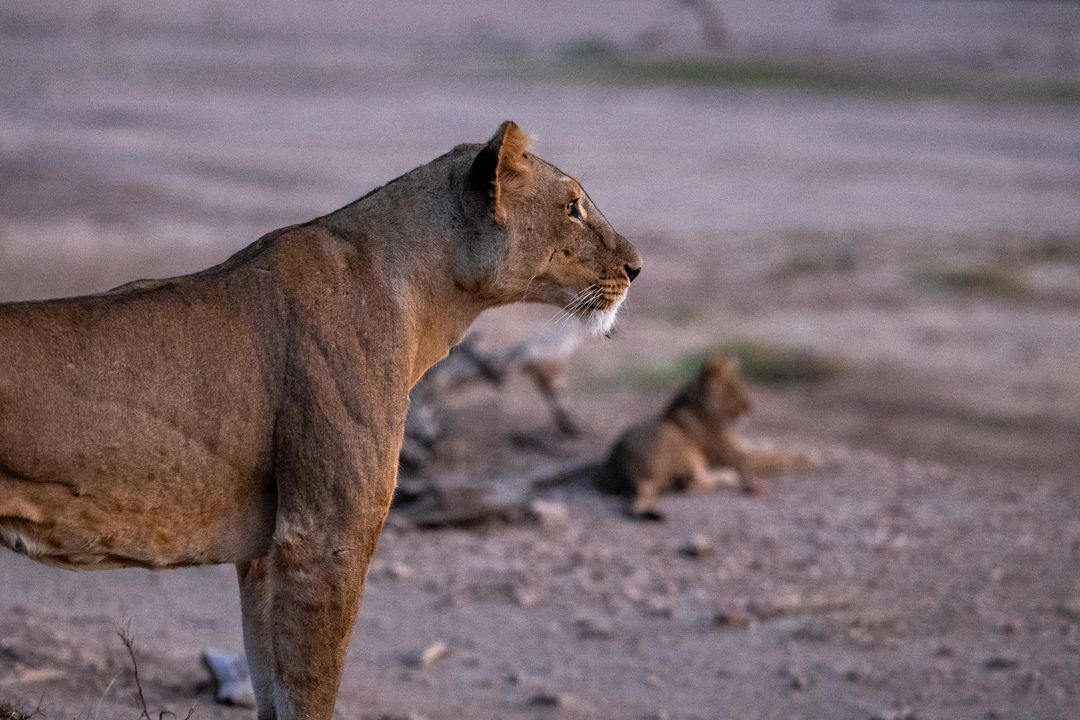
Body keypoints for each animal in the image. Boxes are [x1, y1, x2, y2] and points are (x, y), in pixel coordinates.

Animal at [0, 121, 641, 720]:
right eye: (573, 206)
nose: (636, 268)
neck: (425, 298)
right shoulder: (324, 536)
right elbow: (312, 691)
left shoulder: (264, 553)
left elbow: (272, 689)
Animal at [597, 355, 811, 520]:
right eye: (732, 390)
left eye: (741, 386)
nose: (750, 408)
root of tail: (633, 476)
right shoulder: (738, 458)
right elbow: (775, 456)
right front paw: (809, 458)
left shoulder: (740, 446)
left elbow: (768, 445)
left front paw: (804, 448)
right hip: (679, 444)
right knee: (690, 484)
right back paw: (729, 476)